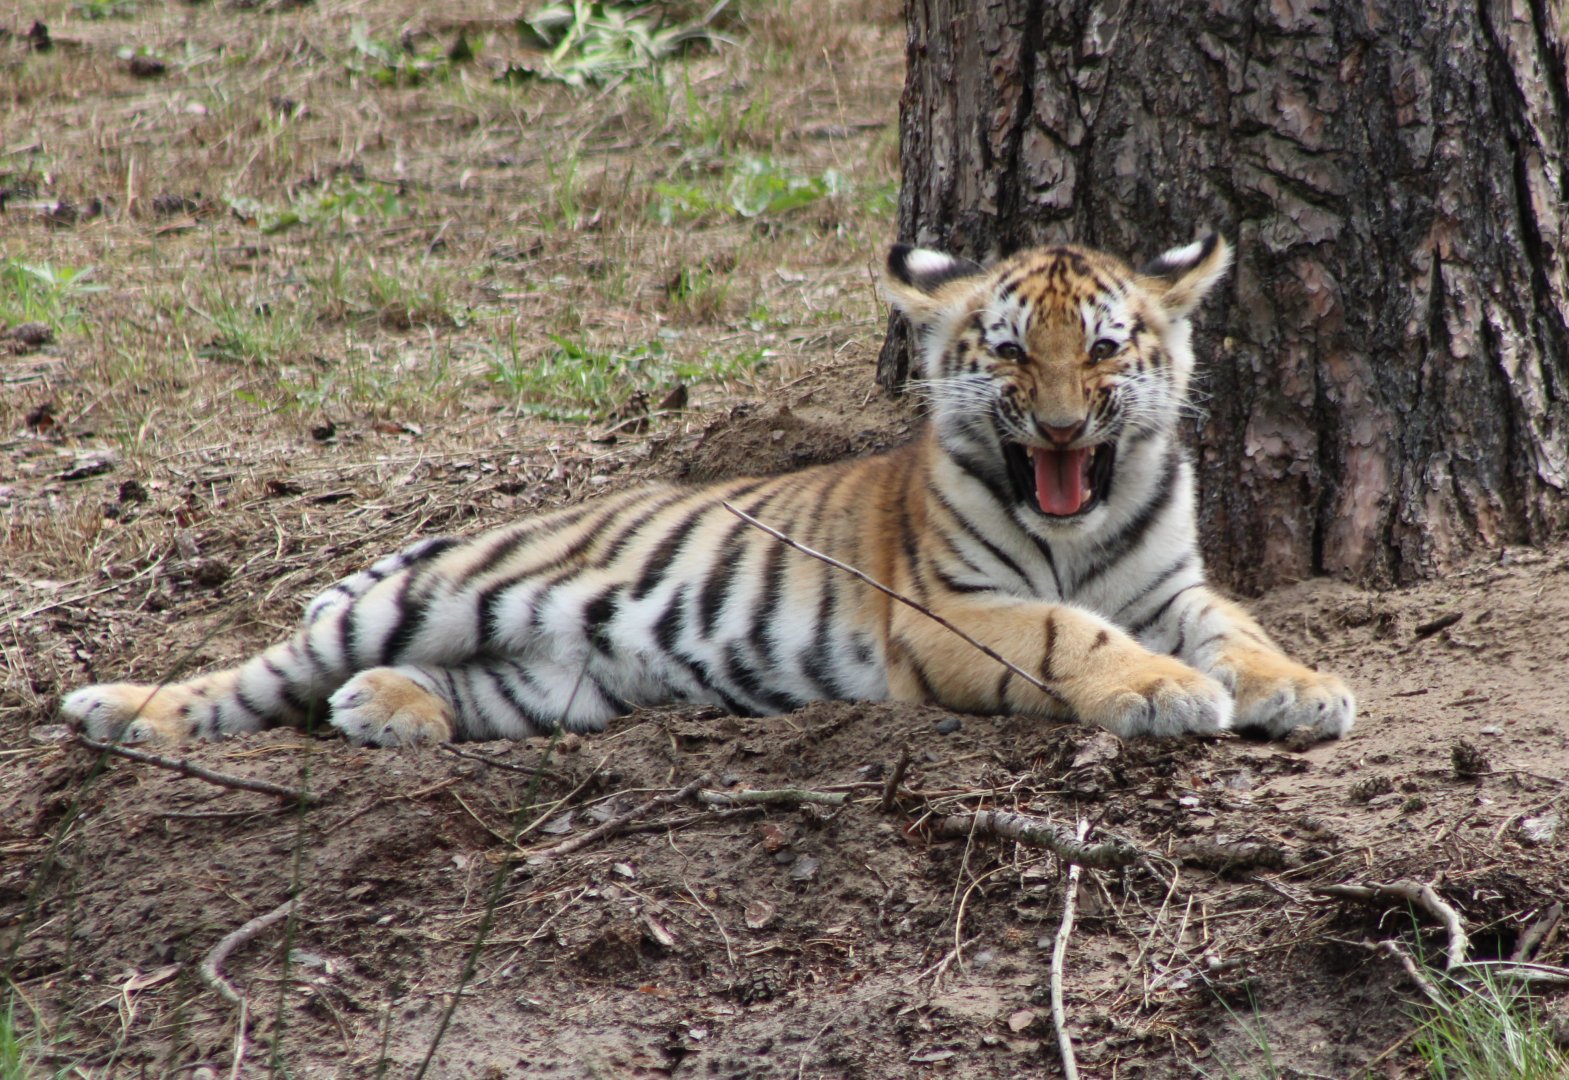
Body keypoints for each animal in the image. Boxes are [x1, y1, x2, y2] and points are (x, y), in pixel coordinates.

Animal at [62, 234, 1355, 748]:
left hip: (554, 681)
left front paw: (1303, 690)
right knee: (254, 672)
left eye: (1100, 349)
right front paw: (1165, 693)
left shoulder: (1174, 585)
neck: (1076, 521)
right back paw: (123, 711)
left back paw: (386, 707)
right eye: (1005, 353)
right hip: (421, 596)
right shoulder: (955, 609)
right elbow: (1069, 633)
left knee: (433, 686)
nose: (1060, 426)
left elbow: (1240, 627)